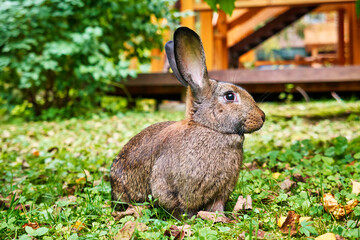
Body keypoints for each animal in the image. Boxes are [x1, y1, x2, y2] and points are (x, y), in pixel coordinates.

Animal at [109, 26, 264, 218]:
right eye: (229, 96)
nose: (262, 117)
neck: (209, 128)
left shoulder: (221, 192)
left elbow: (217, 206)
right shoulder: (168, 186)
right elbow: (178, 206)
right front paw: (190, 219)